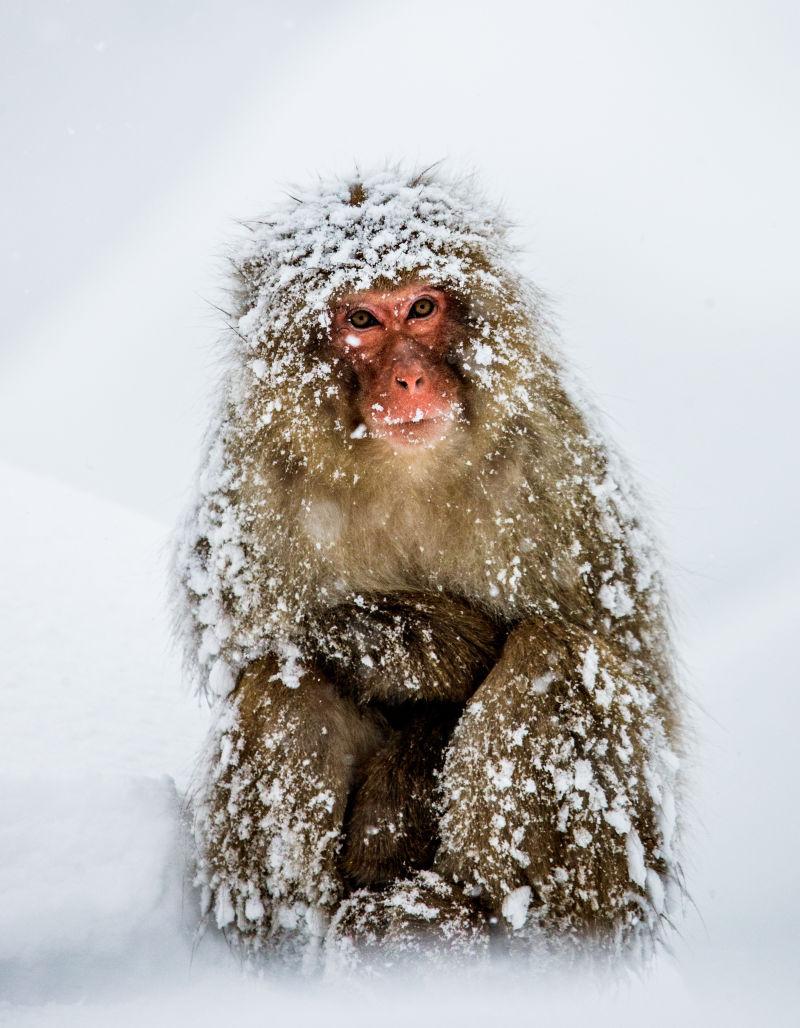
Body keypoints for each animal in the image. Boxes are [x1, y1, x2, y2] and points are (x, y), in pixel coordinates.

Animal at [172, 170, 678, 970]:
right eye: (361, 319)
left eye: (421, 307)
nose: (410, 378)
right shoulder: (249, 493)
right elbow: (250, 648)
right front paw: (412, 641)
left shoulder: (556, 471)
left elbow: (631, 668)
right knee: (281, 688)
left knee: (559, 660)